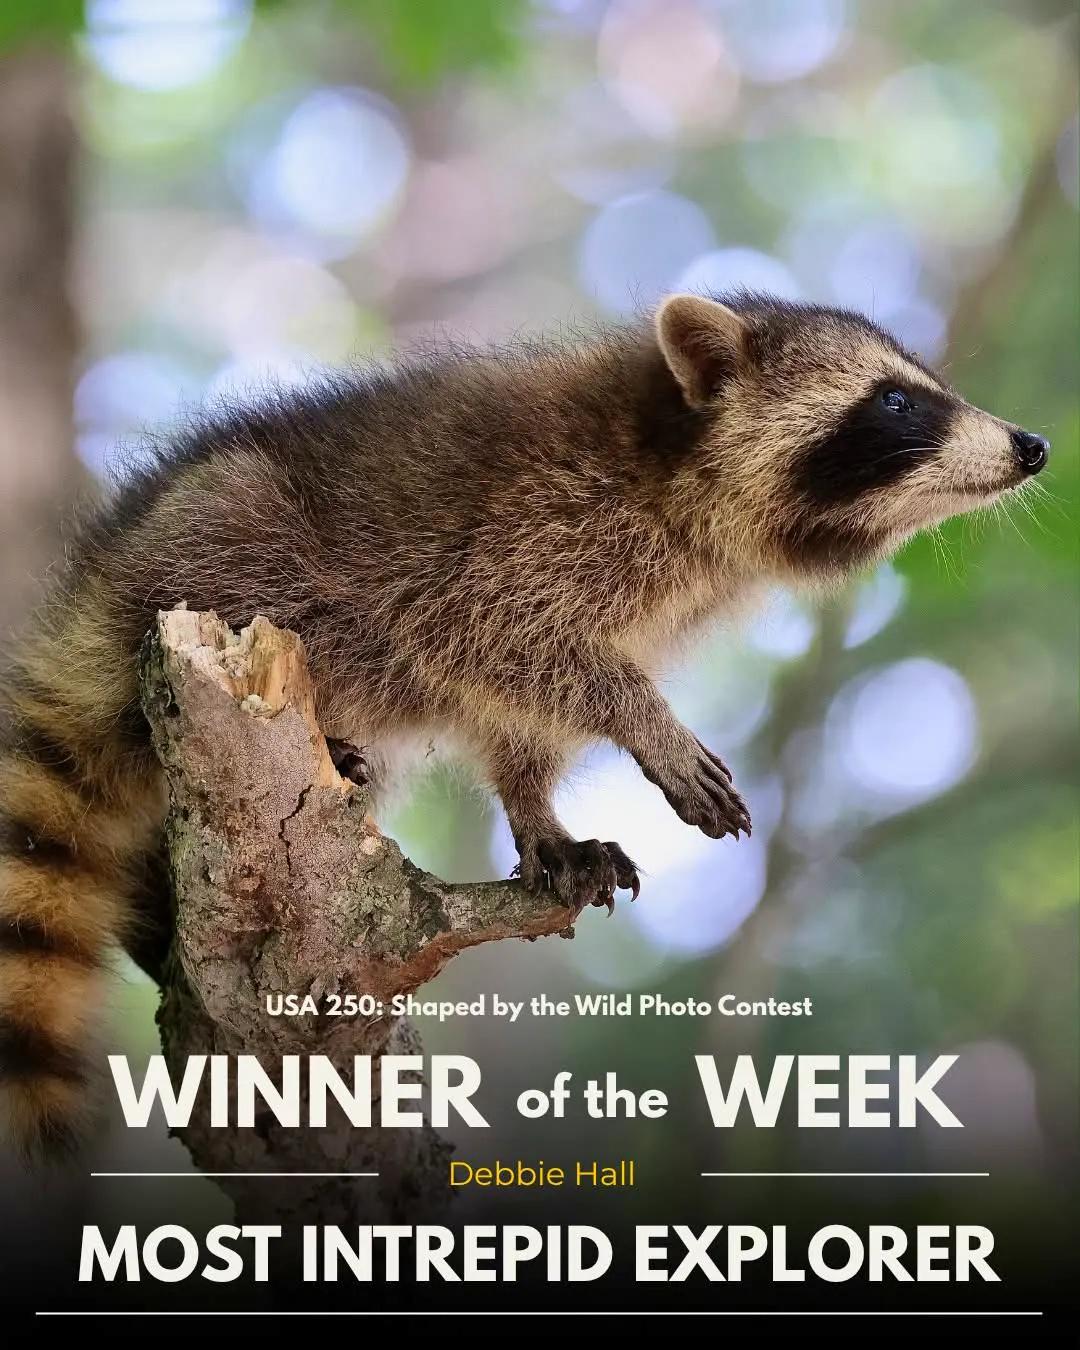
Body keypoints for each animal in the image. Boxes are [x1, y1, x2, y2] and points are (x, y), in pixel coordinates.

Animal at [0, 291, 1049, 1159]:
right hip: (217, 544)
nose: (1032, 444)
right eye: (896, 402)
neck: (682, 478)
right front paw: (644, 719)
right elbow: (515, 645)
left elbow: (519, 720)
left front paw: (537, 812)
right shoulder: (522, 531)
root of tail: (91, 595)